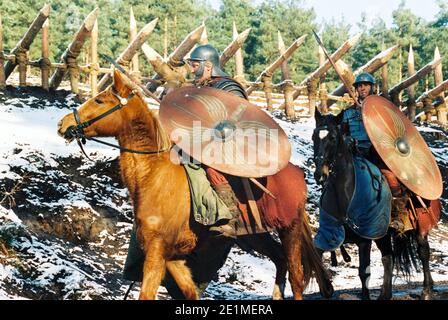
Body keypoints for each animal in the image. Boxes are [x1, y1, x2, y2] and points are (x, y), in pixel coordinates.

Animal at [57, 70, 332, 300]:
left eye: (99, 101)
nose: (63, 124)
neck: (154, 175)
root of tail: (296, 171)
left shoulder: (157, 251)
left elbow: (147, 294)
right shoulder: (172, 257)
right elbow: (189, 292)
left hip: (289, 227)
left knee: (296, 274)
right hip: (255, 235)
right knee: (279, 260)